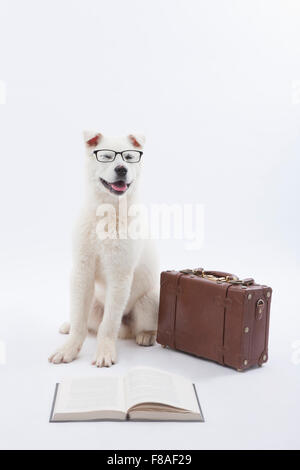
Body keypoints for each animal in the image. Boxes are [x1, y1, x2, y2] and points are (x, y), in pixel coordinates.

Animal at [48, 132, 159, 368]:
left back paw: (146, 335)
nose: (121, 169)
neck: (107, 213)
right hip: (91, 304)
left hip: (149, 300)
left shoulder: (119, 275)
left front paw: (105, 351)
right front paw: (69, 349)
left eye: (129, 157)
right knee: (86, 323)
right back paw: (68, 326)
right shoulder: (82, 270)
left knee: (136, 325)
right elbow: (79, 322)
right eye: (107, 156)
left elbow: (108, 325)